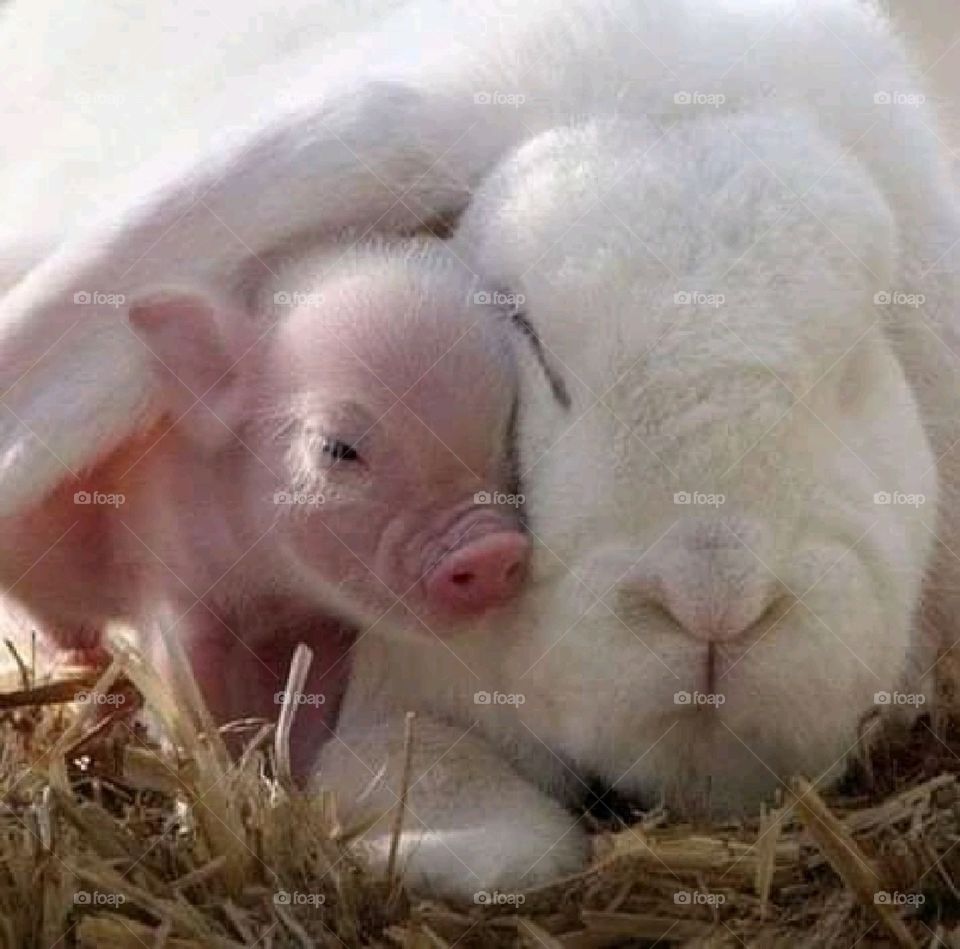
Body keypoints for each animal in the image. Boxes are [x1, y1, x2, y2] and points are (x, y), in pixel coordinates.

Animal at [0, 235, 535, 775]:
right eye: (337, 447)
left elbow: (308, 699)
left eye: (506, 432)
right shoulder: (168, 563)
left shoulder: (320, 624)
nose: (489, 547)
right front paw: (216, 764)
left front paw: (291, 772)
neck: (271, 585)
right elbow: (190, 684)